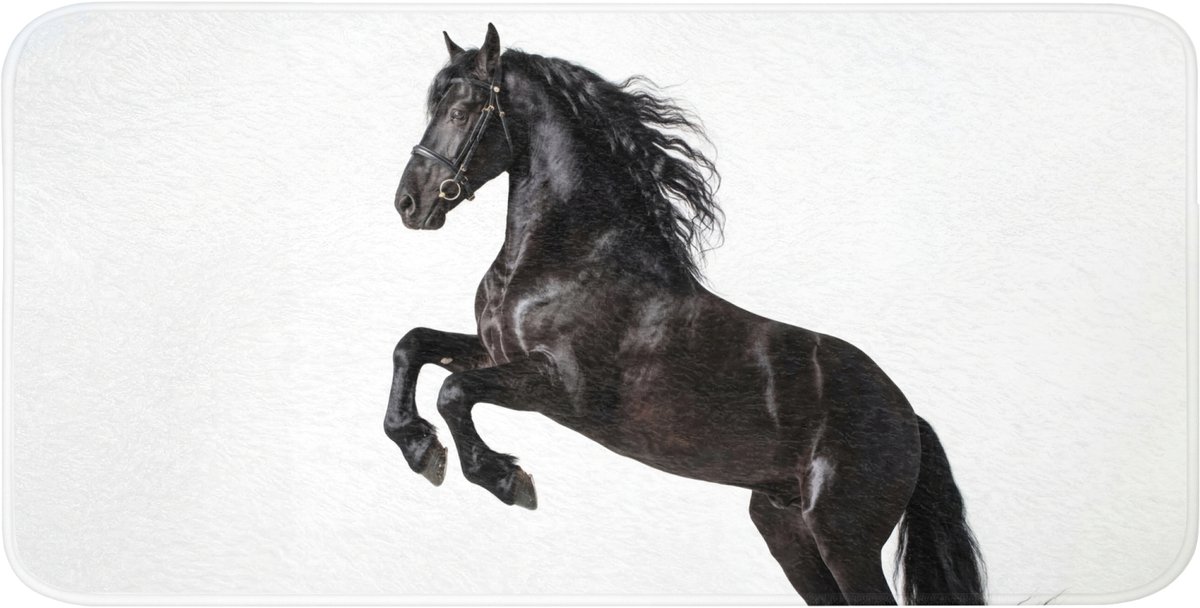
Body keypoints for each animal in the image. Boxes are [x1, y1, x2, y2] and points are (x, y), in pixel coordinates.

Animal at [384, 24, 986, 605]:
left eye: (462, 111)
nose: (409, 204)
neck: (570, 257)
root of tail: (909, 419)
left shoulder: (561, 387)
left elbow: (454, 391)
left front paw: (507, 480)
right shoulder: (495, 351)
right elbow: (413, 344)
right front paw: (419, 448)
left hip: (843, 537)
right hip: (786, 531)